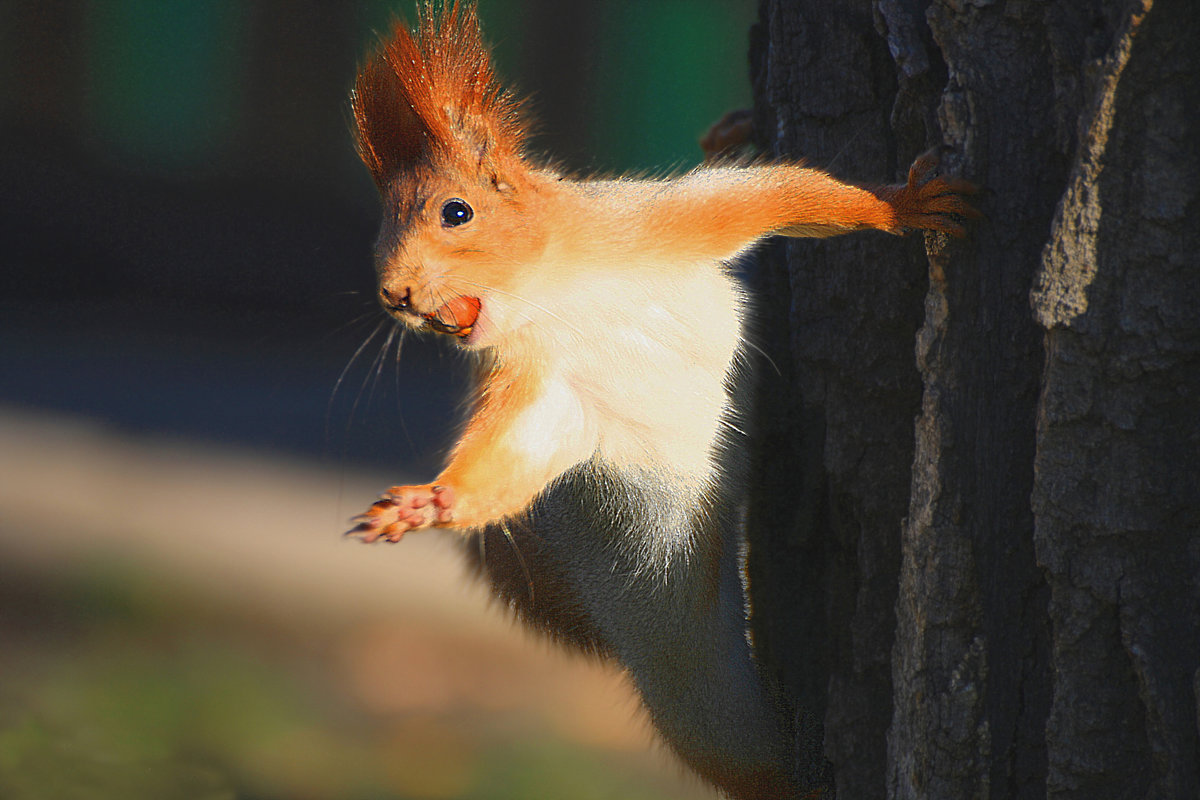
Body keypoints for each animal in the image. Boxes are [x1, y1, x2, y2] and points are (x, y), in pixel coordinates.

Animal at [345, 3, 974, 796]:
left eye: (456, 213)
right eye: (377, 240)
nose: (393, 295)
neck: (558, 293)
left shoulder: (662, 219)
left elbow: (787, 192)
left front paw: (902, 204)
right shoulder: (545, 386)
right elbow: (511, 458)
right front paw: (433, 501)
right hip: (690, 690)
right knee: (747, 760)